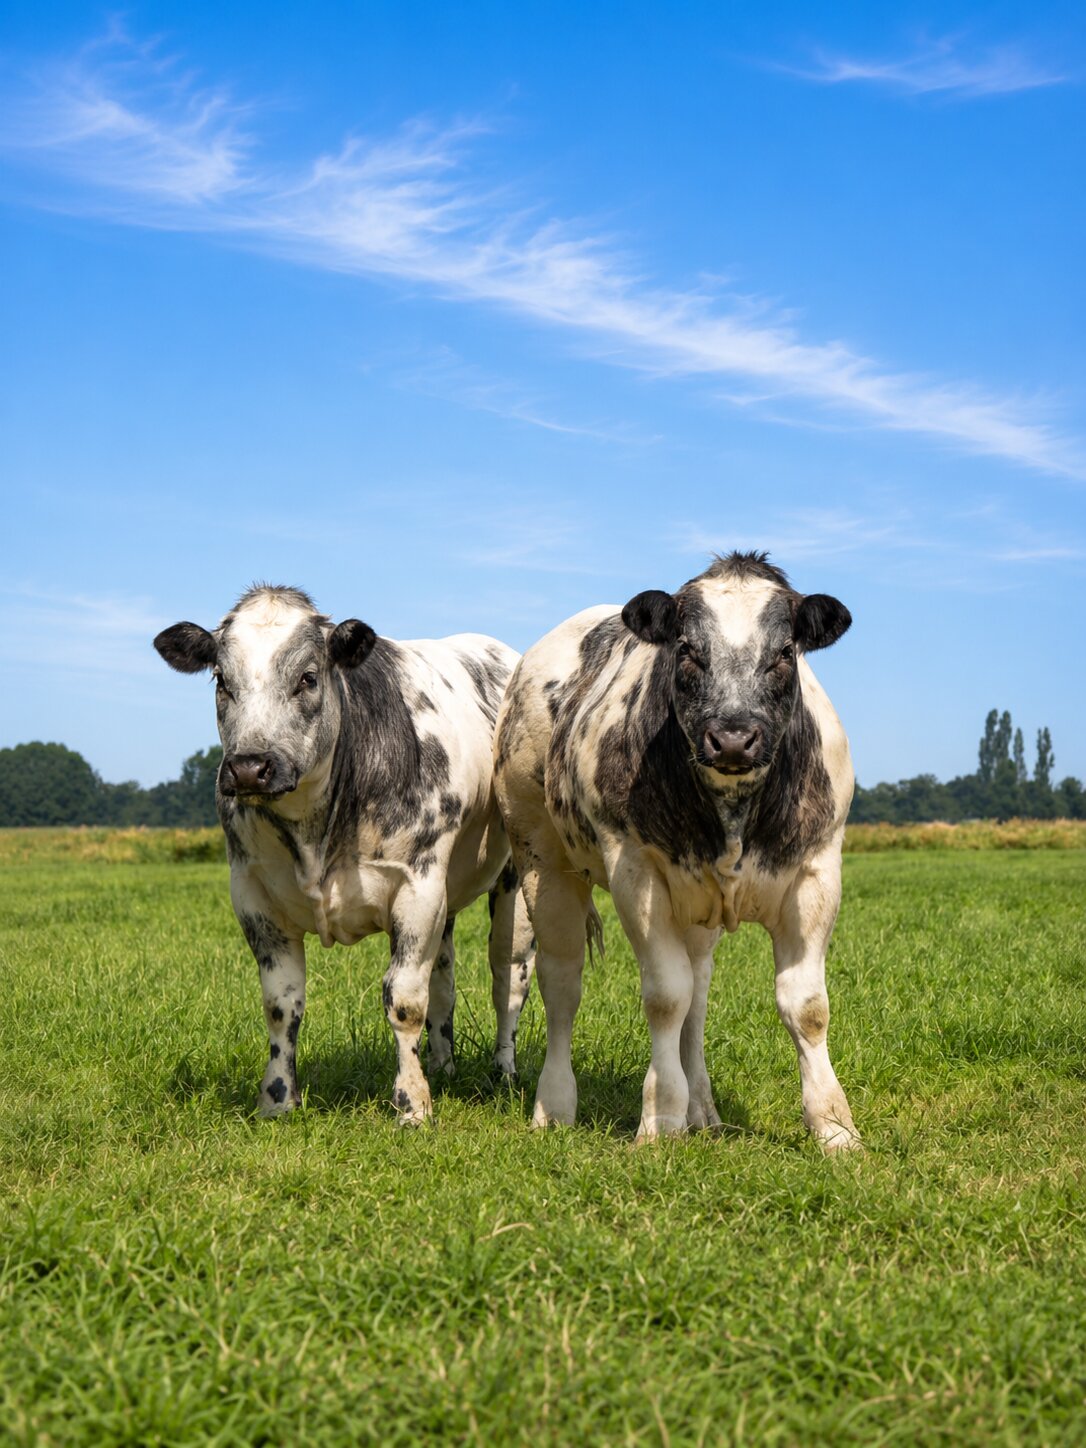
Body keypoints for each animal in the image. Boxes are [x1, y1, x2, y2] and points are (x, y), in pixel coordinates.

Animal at [154, 585, 535, 1123]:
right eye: (221, 680)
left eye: (308, 677)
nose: (249, 768)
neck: (314, 836)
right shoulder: (252, 896)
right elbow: (281, 1005)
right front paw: (277, 1100)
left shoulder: (417, 888)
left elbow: (404, 1000)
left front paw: (412, 1104)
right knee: (444, 975)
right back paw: (442, 1066)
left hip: (515, 880)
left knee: (508, 977)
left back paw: (504, 1072)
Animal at [493, 551, 859, 1150]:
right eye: (686, 649)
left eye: (785, 653)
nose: (733, 738)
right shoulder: (636, 873)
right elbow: (665, 997)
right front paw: (661, 1118)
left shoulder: (817, 872)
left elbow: (805, 1006)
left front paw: (834, 1127)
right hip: (542, 861)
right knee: (562, 982)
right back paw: (555, 1106)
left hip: (698, 909)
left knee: (699, 994)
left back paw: (703, 1110)